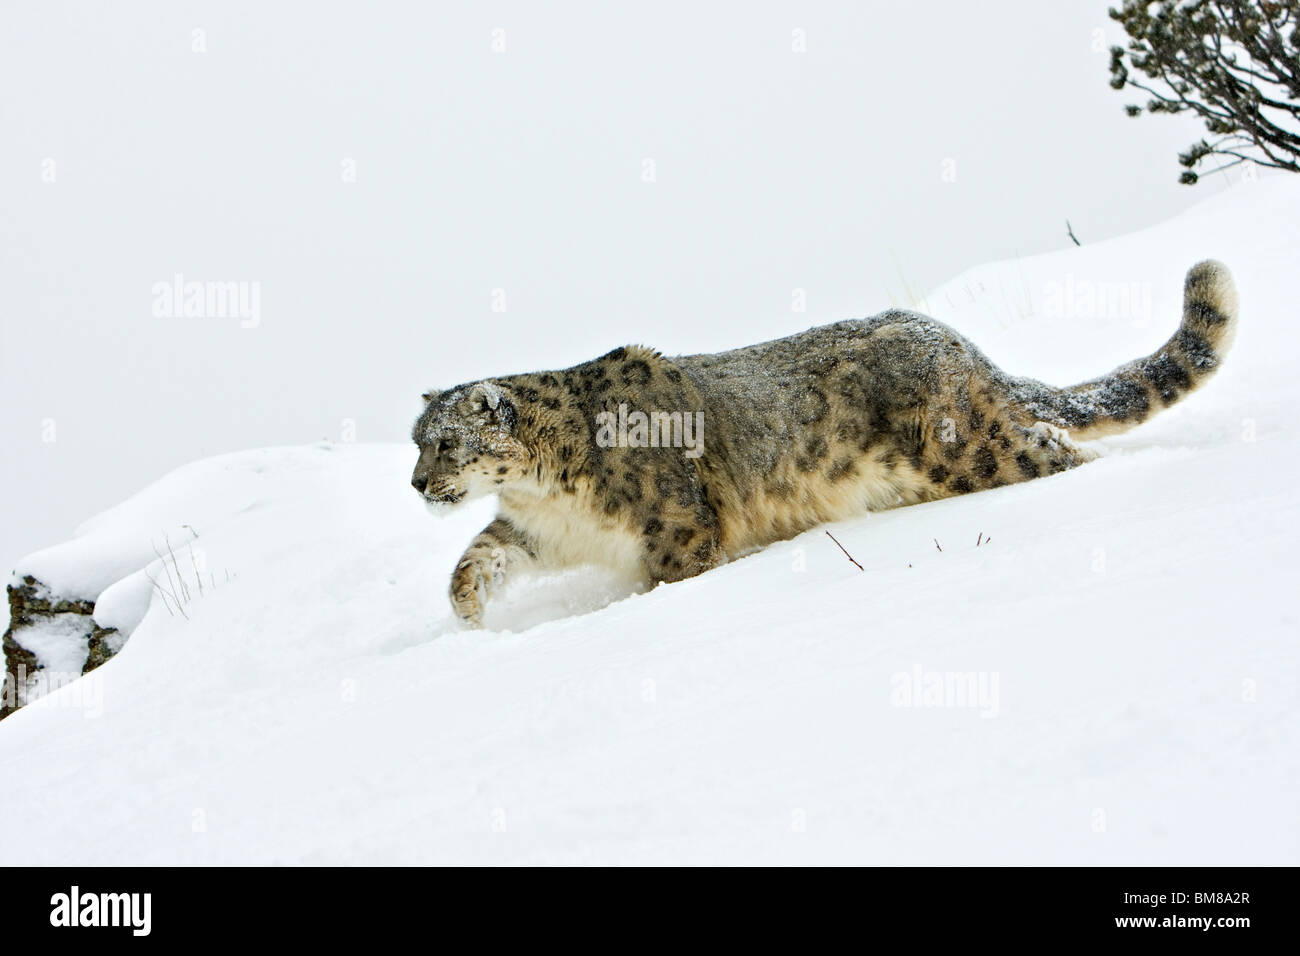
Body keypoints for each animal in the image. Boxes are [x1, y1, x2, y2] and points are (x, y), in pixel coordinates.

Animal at [410, 260, 1232, 629]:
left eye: (444, 444)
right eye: (416, 442)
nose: (418, 485)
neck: (545, 490)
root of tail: (959, 344)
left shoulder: (676, 530)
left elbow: (673, 578)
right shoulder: (535, 529)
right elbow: (480, 552)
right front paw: (469, 609)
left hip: (961, 451)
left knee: (1053, 446)